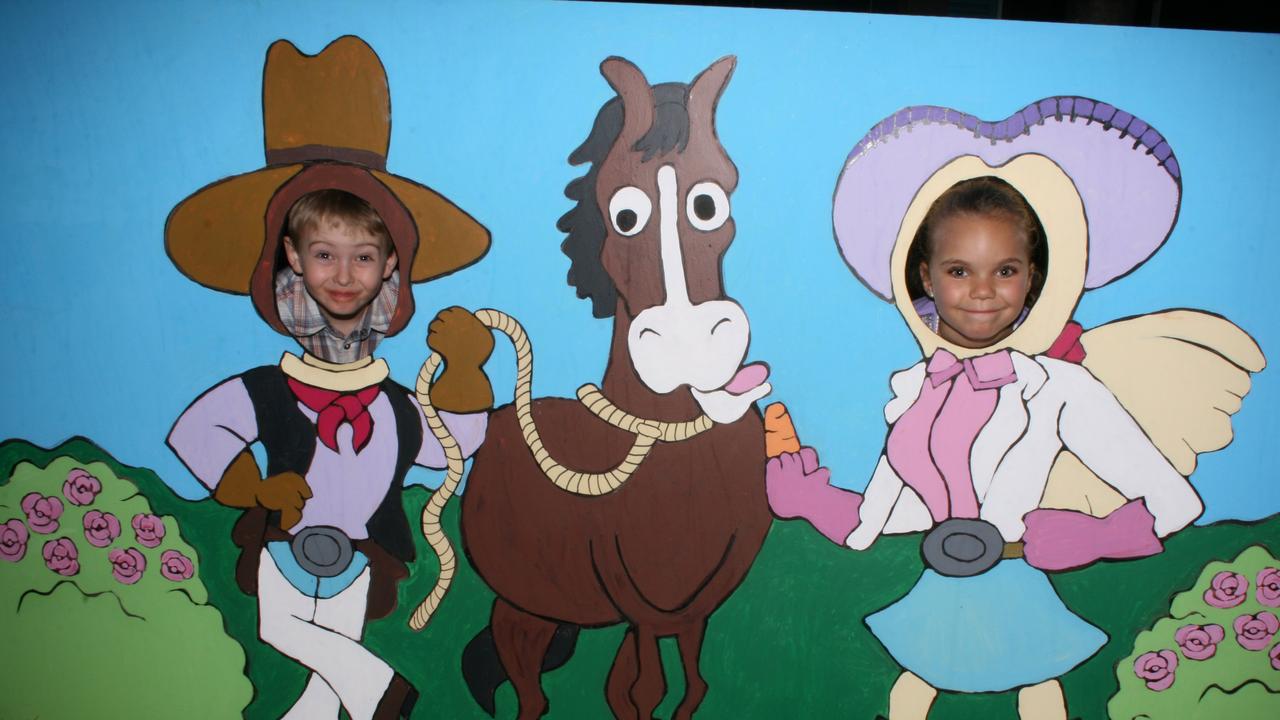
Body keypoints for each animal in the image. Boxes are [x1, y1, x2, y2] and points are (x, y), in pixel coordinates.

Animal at [465, 57, 773, 717]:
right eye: (622, 214)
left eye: (710, 201)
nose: (689, 342)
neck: (678, 448)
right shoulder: (643, 607)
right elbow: (646, 691)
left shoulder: (687, 607)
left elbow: (687, 688)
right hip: (523, 608)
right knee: (529, 693)